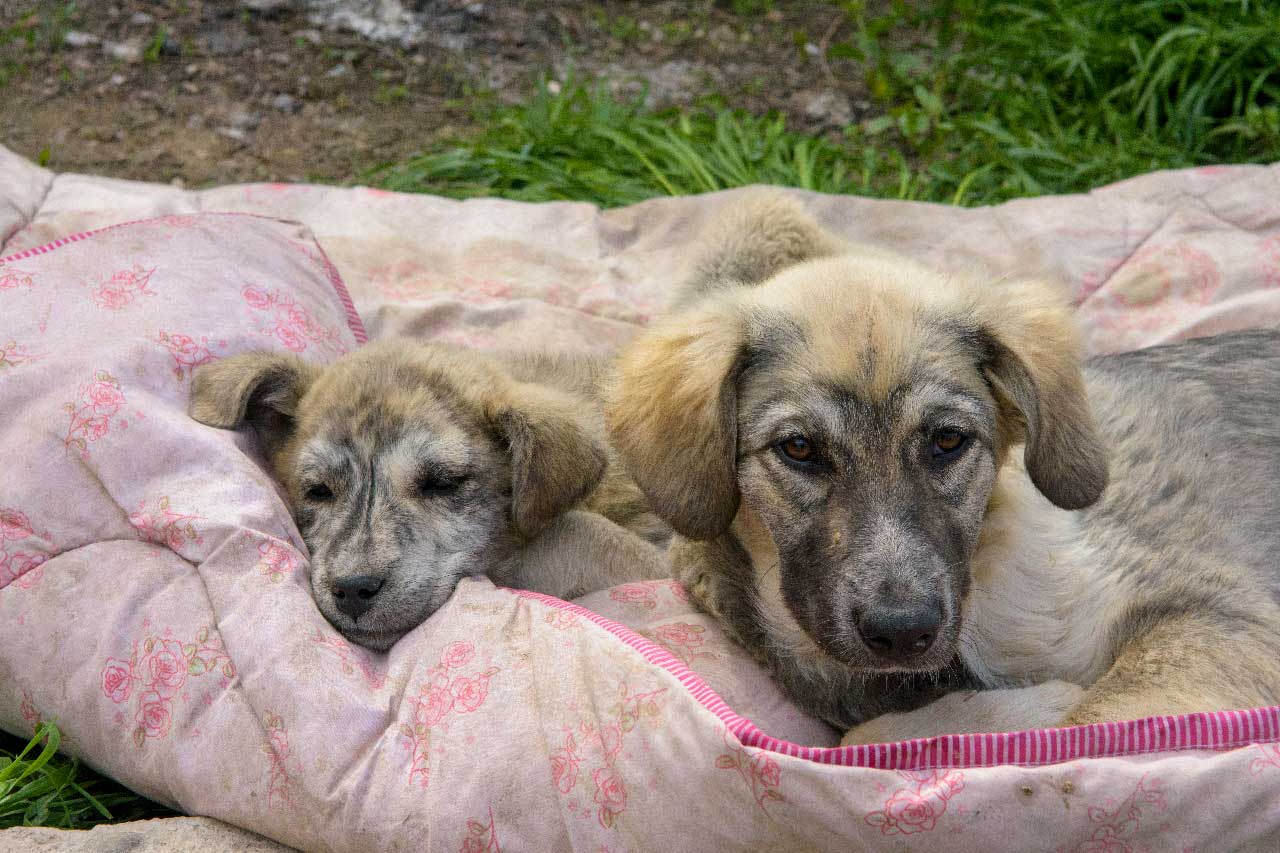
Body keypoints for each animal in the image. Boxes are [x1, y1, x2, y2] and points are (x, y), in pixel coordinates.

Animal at [604, 192, 1280, 737]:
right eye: (798, 448)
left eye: (948, 441)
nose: (902, 632)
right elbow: (873, 735)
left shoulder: (1216, 615)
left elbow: (1092, 723)